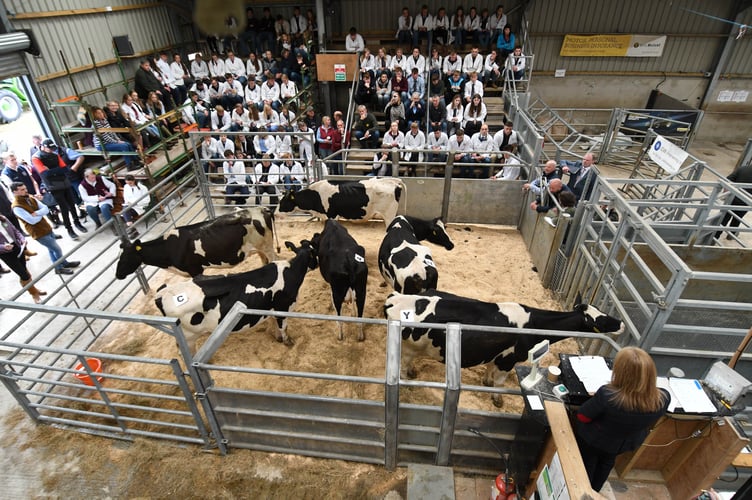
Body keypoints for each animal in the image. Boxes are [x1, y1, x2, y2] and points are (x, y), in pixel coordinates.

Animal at [113, 205, 274, 280]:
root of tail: (262, 209)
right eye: (120, 256)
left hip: (267, 247)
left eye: (126, 257)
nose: (118, 274)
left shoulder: (195, 269)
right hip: (259, 249)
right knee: (264, 260)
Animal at [384, 290, 624, 406]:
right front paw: (497, 399)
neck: (532, 324)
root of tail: (395, 297)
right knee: (403, 366)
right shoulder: (508, 358)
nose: (621, 323)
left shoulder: (497, 355)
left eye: (603, 311)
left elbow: (490, 372)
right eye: (601, 321)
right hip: (408, 348)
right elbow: (500, 383)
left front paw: (486, 381)